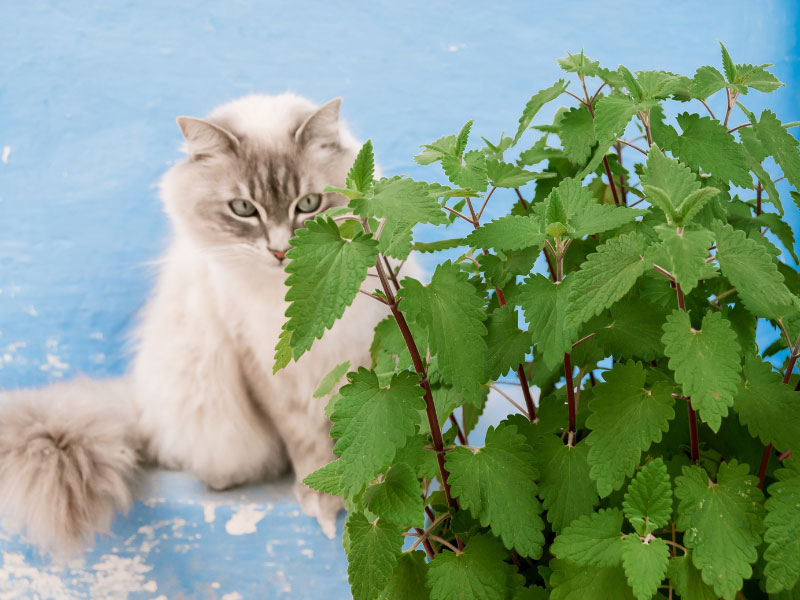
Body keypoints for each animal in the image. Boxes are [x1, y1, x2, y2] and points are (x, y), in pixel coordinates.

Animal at [0, 94, 398, 556]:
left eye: (308, 204)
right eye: (243, 209)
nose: (280, 252)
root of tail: (135, 398)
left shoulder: (364, 352)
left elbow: (367, 434)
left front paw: (372, 483)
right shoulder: (264, 366)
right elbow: (306, 439)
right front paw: (322, 491)